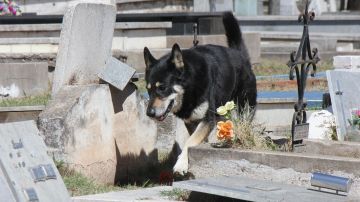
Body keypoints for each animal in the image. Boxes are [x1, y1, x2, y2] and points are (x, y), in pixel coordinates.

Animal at [143, 11, 256, 175]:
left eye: (162, 88)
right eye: (148, 89)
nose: (149, 113)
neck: (190, 87)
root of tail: (239, 54)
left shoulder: (206, 119)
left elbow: (189, 143)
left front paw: (181, 164)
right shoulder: (191, 121)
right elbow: (191, 140)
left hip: (244, 108)